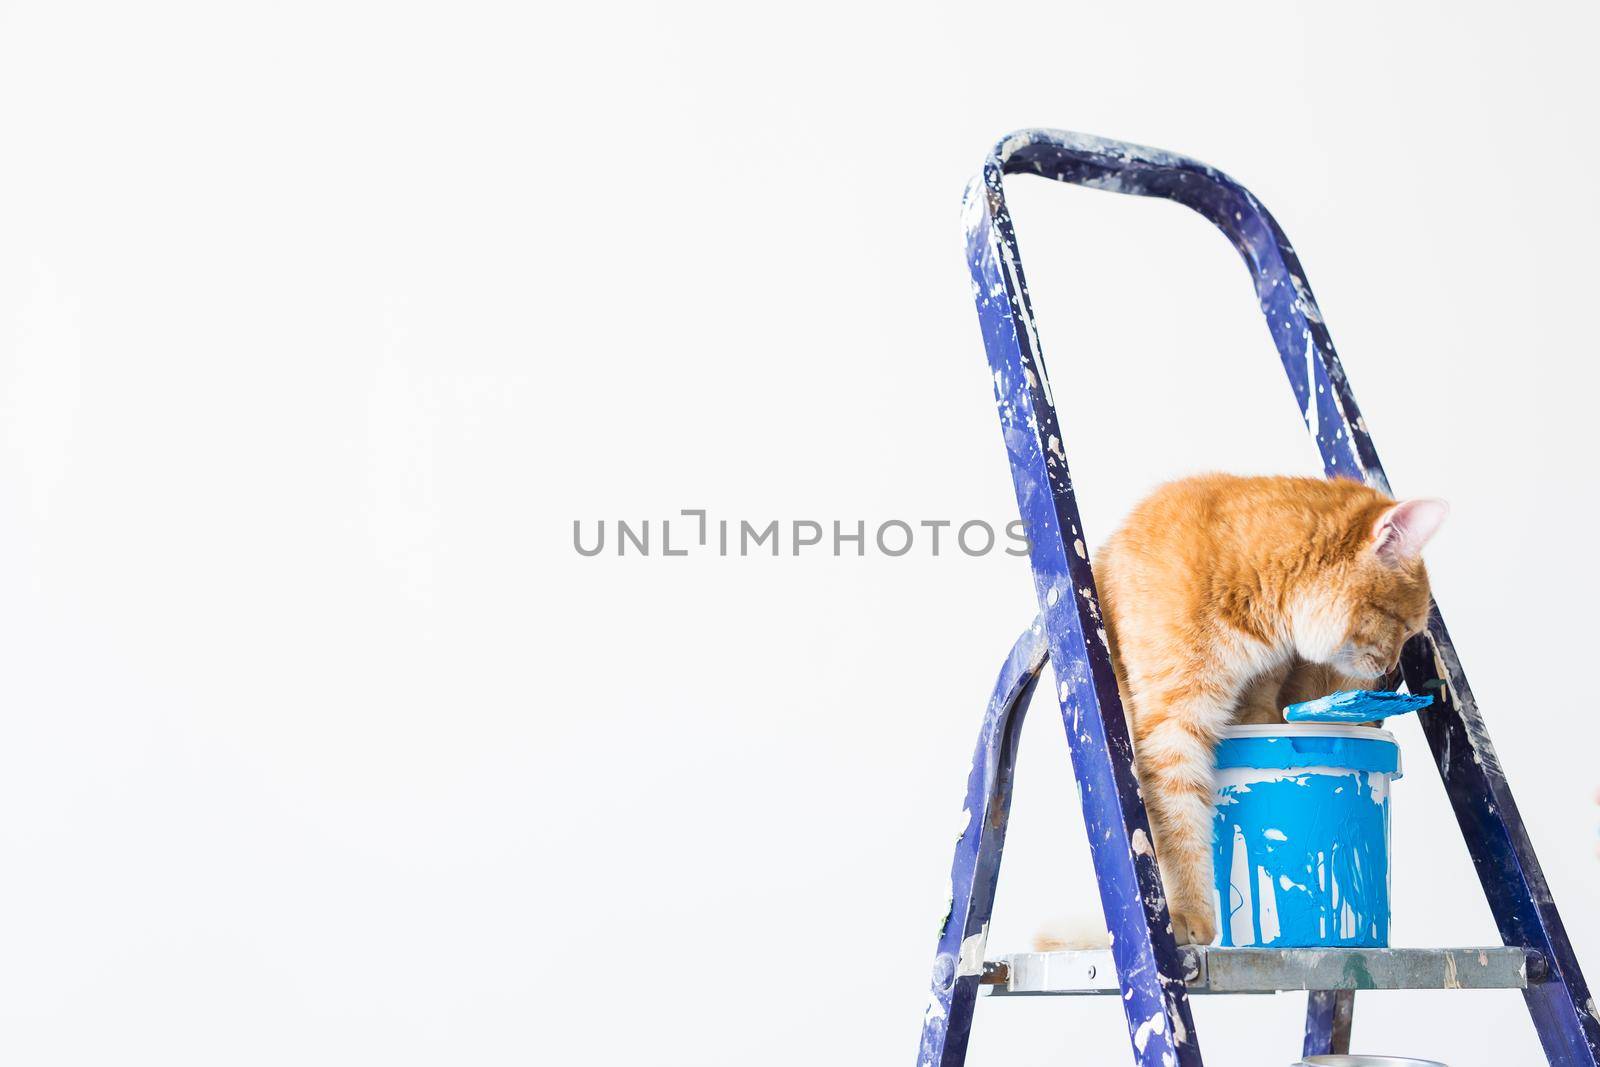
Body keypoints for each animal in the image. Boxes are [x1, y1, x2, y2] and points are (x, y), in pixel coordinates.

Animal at [1094, 473, 1446, 940]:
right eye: (1405, 626)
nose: (1392, 669)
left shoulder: (1266, 678)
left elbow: (1263, 704)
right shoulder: (1170, 725)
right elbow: (1178, 822)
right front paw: (1189, 914)